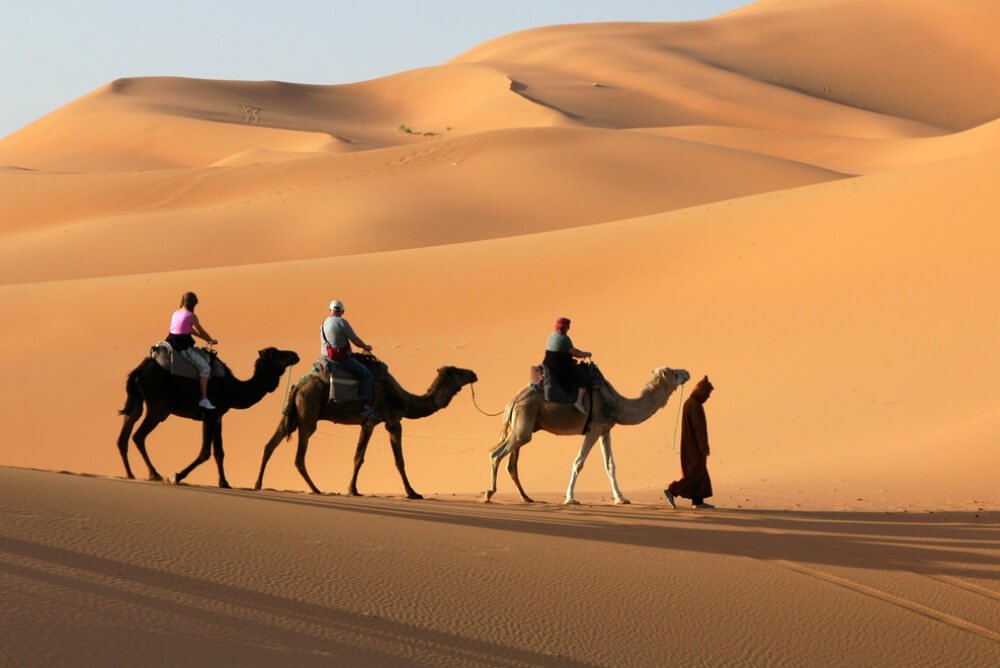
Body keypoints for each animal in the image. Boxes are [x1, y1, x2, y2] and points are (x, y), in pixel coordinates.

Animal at [117, 347, 301, 488]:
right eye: (279, 354)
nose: (295, 354)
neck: (233, 390)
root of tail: (139, 371)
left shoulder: (218, 417)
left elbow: (219, 452)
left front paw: (224, 482)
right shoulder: (210, 415)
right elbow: (205, 452)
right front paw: (176, 476)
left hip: (137, 401)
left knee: (124, 434)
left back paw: (130, 474)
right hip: (158, 406)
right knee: (138, 436)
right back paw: (154, 474)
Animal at [254, 361, 478, 498]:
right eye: (458, 371)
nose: (474, 373)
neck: (403, 400)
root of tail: (298, 386)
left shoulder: (368, 423)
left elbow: (358, 456)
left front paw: (352, 489)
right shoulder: (388, 421)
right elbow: (394, 460)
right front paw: (412, 493)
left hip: (291, 416)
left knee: (269, 445)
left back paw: (258, 484)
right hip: (308, 414)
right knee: (299, 457)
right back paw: (316, 489)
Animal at [484, 366, 690, 505]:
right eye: (674, 373)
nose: (687, 372)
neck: (617, 404)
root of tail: (512, 401)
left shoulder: (605, 429)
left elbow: (610, 465)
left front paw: (621, 498)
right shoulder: (594, 428)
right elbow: (578, 462)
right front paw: (570, 498)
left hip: (523, 426)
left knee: (511, 464)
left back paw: (526, 498)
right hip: (523, 424)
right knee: (495, 455)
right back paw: (488, 493)